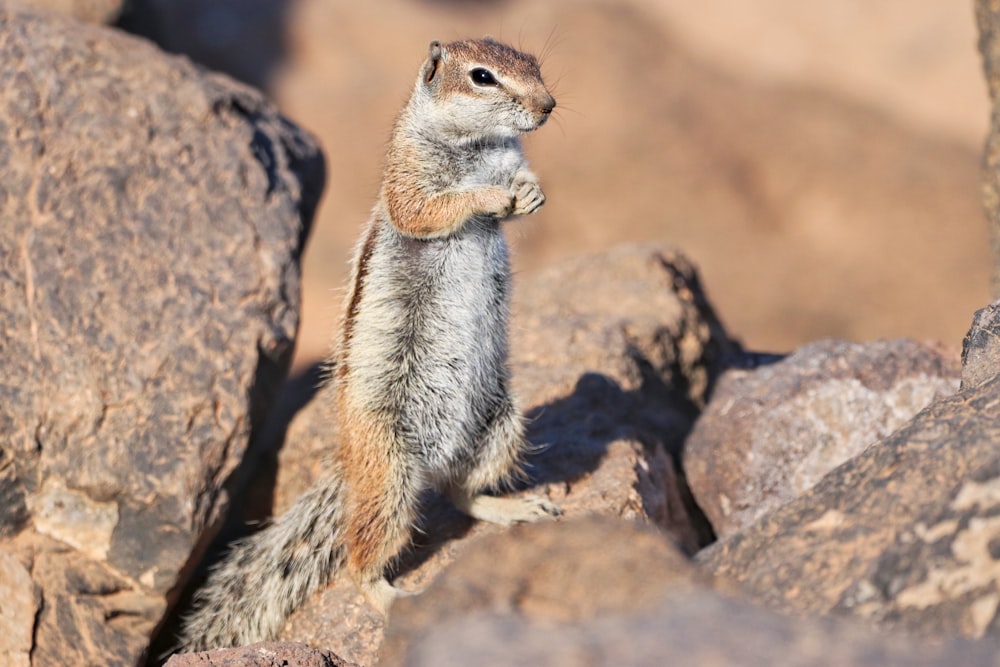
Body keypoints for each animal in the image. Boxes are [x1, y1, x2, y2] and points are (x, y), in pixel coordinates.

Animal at [176, 37, 560, 652]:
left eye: (534, 66)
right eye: (483, 77)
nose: (548, 106)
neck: (478, 147)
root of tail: (350, 467)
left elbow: (521, 175)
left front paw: (531, 191)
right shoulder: (408, 181)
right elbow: (429, 209)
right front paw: (493, 197)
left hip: (499, 422)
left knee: (459, 491)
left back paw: (511, 507)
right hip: (390, 471)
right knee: (363, 555)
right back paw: (393, 598)